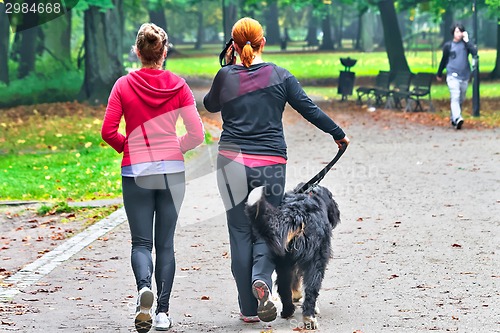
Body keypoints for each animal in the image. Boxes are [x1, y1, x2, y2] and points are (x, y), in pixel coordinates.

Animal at [245, 184, 342, 330]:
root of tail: (297, 215)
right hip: (313, 260)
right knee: (306, 289)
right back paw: (301, 315)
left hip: (285, 261)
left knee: (289, 287)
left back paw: (297, 314)